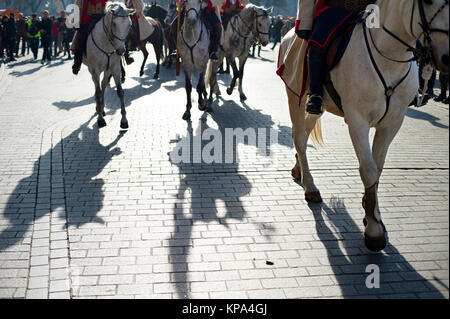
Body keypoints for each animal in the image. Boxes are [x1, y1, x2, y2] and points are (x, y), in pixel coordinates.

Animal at [83, 1, 134, 129]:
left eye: (129, 25)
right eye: (114, 24)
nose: (121, 50)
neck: (106, 42)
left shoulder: (115, 68)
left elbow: (120, 92)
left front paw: (124, 120)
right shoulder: (95, 70)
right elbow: (97, 92)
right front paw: (100, 119)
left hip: (107, 70)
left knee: (103, 84)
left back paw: (102, 107)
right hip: (92, 70)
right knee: (98, 87)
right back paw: (99, 109)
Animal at [280, 0, 448, 252]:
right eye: (427, 2)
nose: (447, 57)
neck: (388, 58)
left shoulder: (392, 122)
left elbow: (378, 168)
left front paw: (370, 208)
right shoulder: (357, 121)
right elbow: (368, 169)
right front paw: (374, 230)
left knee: (305, 133)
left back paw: (299, 168)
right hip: (296, 95)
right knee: (299, 135)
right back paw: (310, 187)